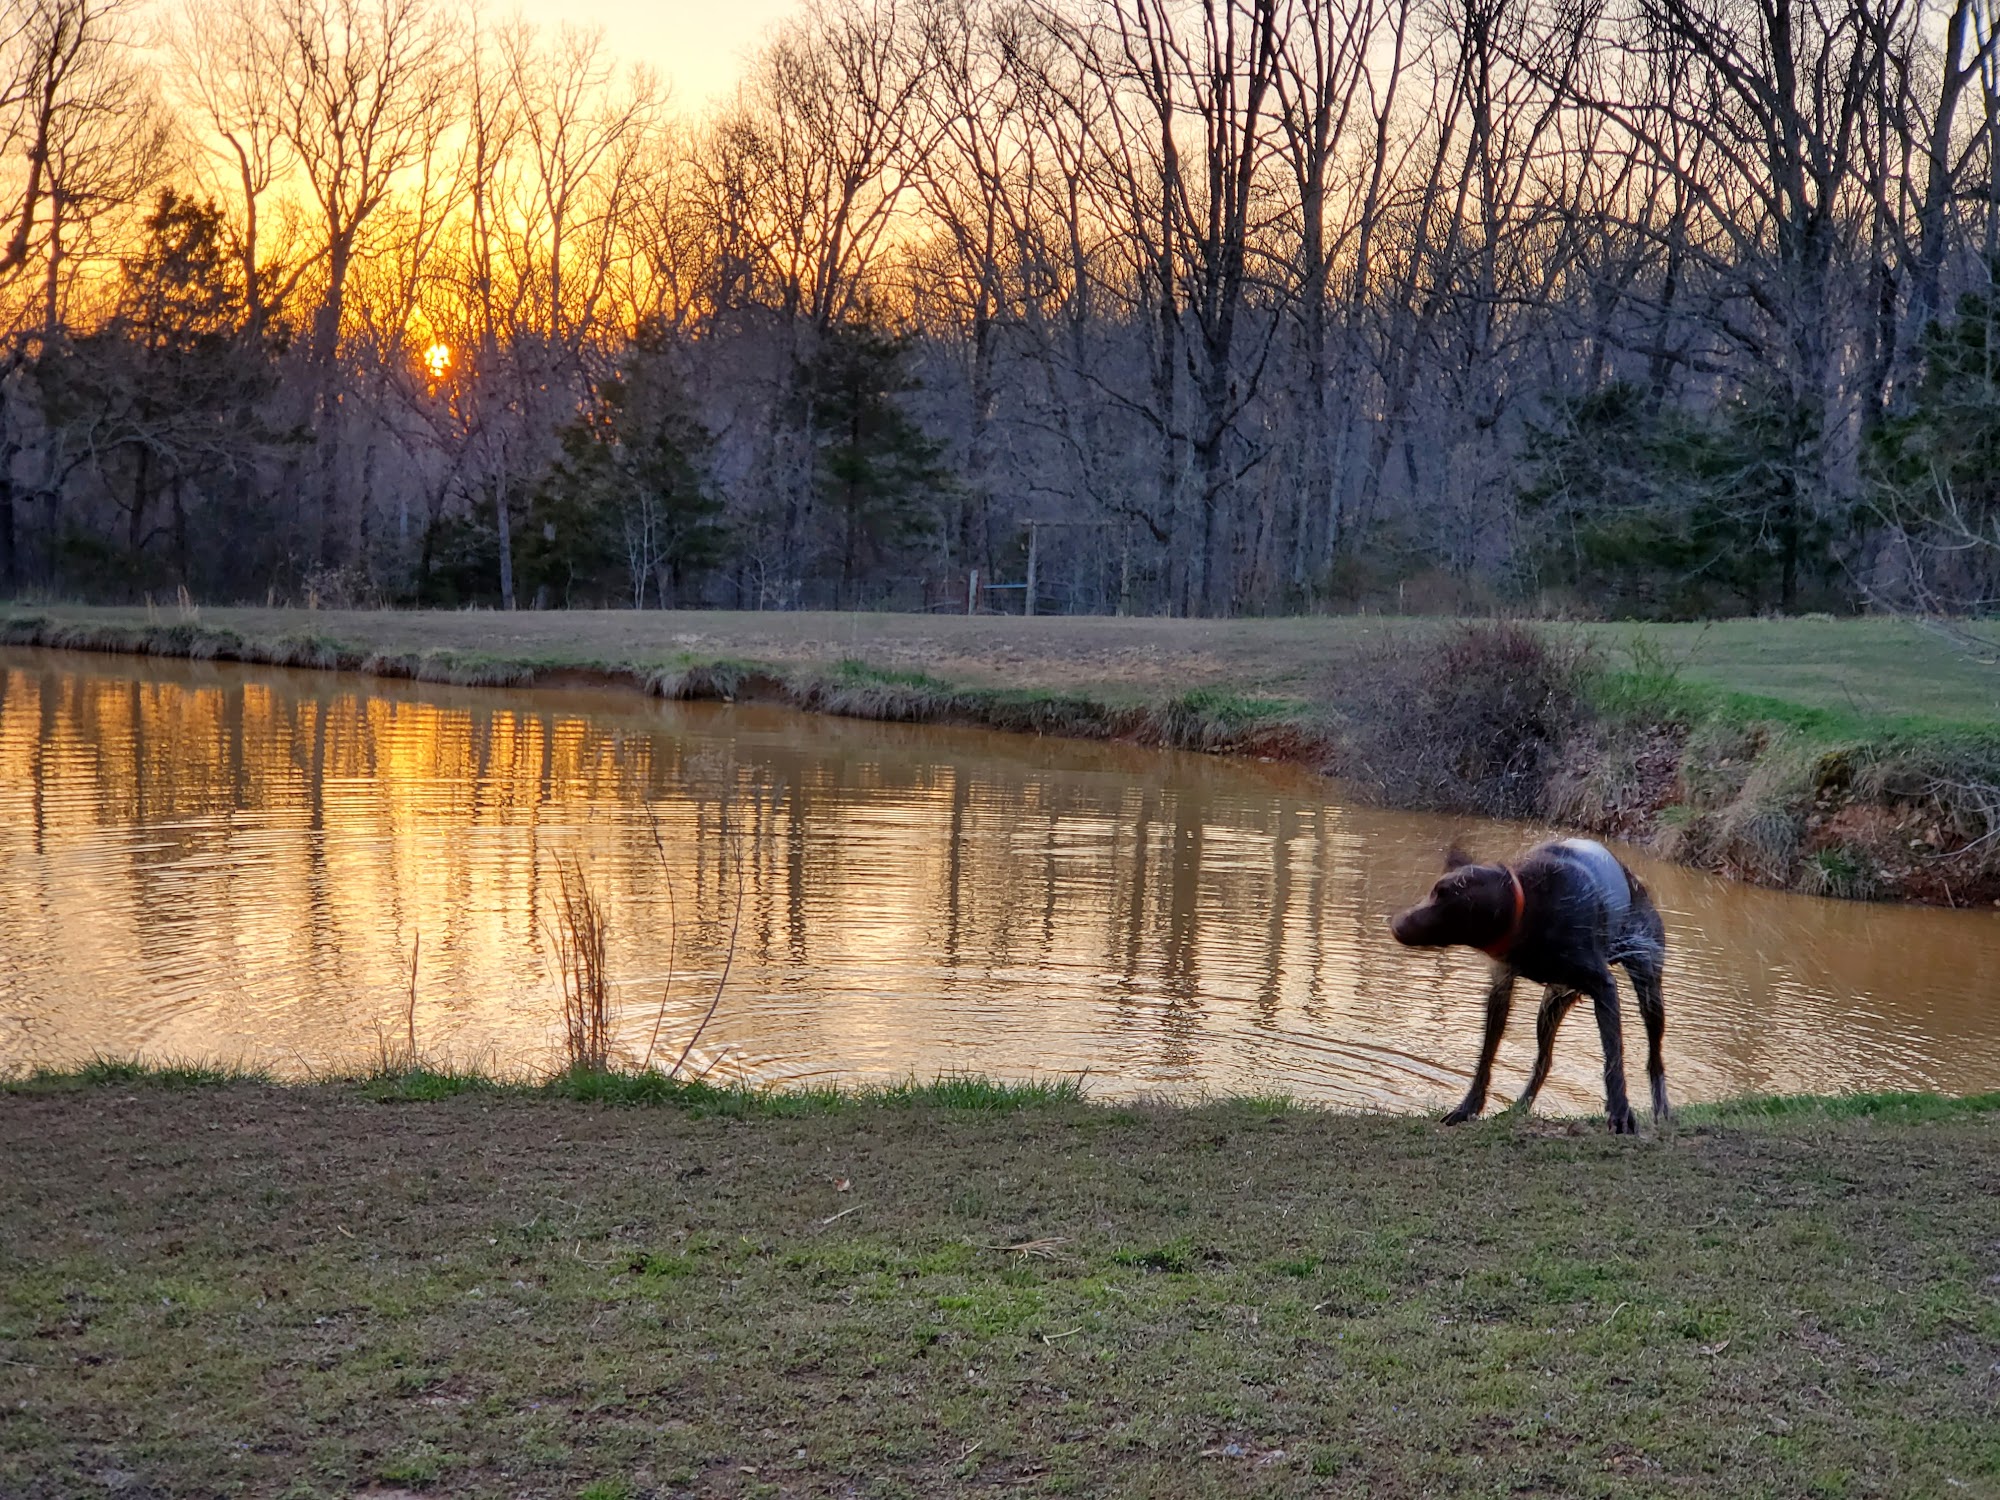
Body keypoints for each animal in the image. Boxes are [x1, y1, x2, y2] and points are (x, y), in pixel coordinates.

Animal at [1384, 840, 1664, 1136]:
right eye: (1434, 891)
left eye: (1442, 895)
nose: (1396, 923)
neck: (1529, 910)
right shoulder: (1501, 986)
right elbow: (1485, 1058)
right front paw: (1468, 1107)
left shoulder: (1604, 987)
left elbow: (1613, 1059)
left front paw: (1620, 1112)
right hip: (1551, 1005)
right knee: (1544, 1061)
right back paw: (1519, 1107)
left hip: (1649, 990)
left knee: (1654, 1058)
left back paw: (1662, 1109)